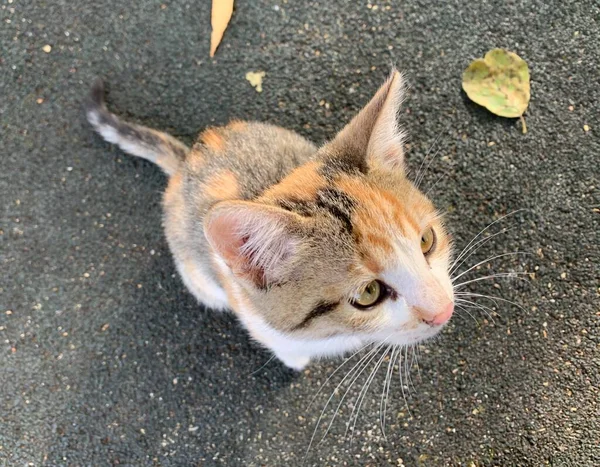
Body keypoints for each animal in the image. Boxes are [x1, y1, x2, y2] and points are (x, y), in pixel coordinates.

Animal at [86, 71, 454, 372]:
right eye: (368, 293)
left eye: (426, 240)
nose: (444, 310)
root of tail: (188, 158)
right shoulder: (257, 318)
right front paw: (297, 361)